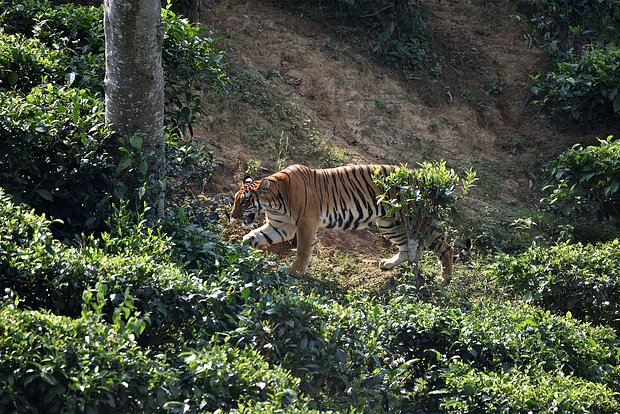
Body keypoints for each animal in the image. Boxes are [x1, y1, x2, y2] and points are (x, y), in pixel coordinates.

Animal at [230, 163, 458, 284]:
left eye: (244, 201)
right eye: (235, 200)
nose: (232, 216)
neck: (275, 201)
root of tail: (420, 177)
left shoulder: (306, 224)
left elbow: (303, 250)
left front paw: (295, 272)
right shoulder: (282, 226)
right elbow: (254, 236)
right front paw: (239, 250)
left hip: (414, 220)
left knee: (444, 246)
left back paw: (444, 278)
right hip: (389, 223)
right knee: (406, 248)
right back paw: (388, 264)